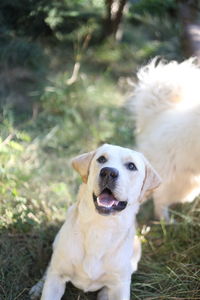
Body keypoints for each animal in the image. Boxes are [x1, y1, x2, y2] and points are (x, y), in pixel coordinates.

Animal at [30, 144, 161, 300]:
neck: (100, 227)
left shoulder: (120, 285)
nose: (108, 172)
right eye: (102, 159)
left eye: (131, 166)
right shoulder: (57, 276)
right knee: (49, 268)